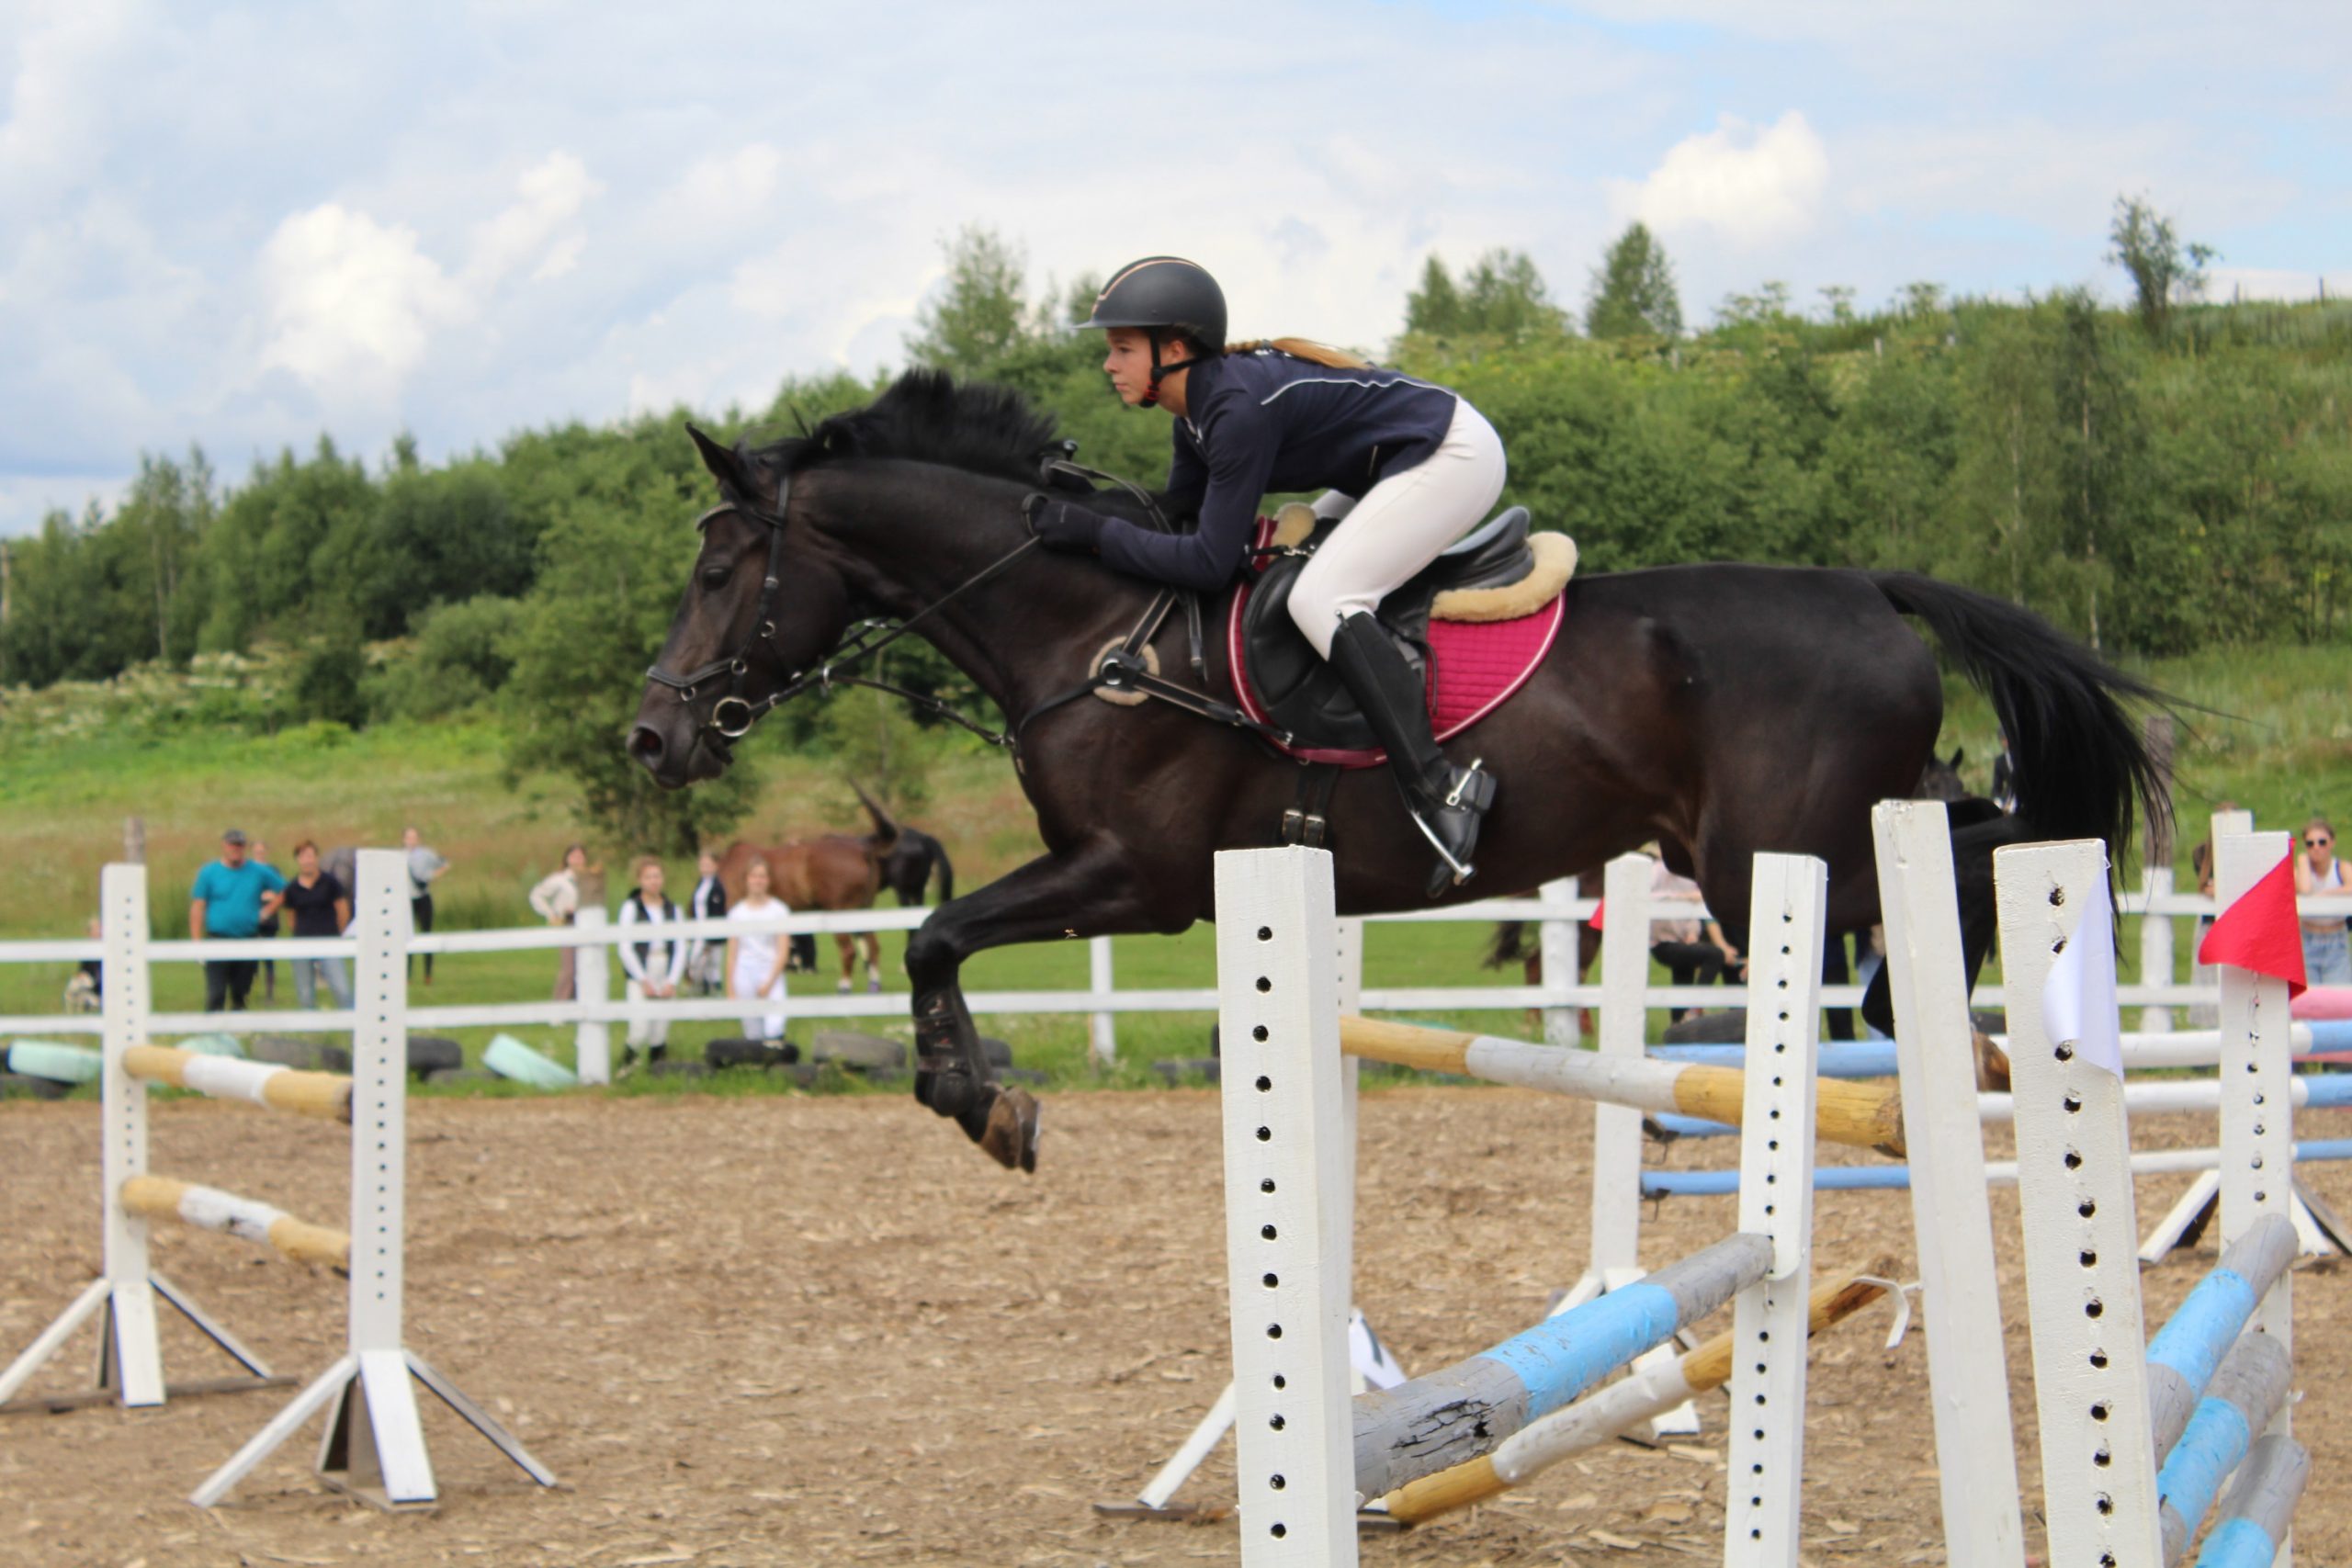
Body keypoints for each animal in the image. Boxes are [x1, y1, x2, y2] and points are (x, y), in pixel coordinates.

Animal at [630, 373, 2164, 1170]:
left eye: (718, 572)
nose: (654, 735)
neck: (1089, 624)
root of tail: (1868, 588)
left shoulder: (1135, 879)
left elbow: (936, 931)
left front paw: (980, 1102)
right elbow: (937, 940)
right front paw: (979, 1096)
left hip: (1770, 863)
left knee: (1977, 859)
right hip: (1779, 846)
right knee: (1973, 834)